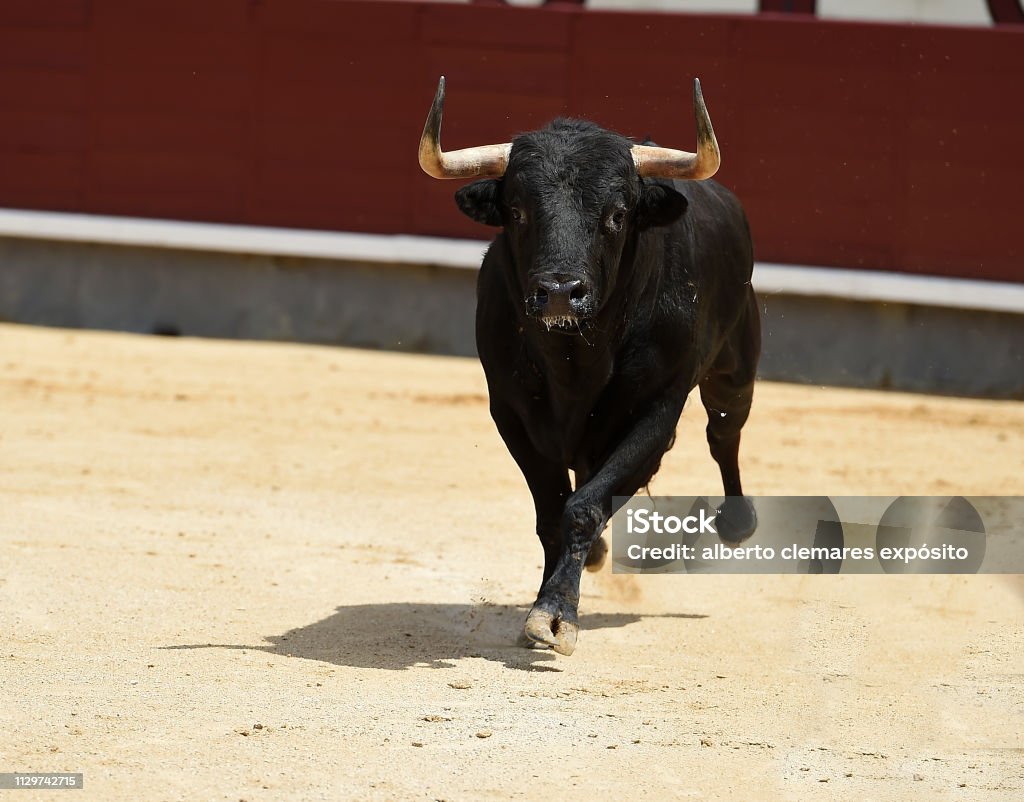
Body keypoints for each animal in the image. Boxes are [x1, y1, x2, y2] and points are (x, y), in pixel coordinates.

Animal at [417, 78, 761, 655]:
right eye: (517, 211)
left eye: (617, 215)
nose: (560, 292)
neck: (573, 360)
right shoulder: (511, 413)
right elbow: (552, 513)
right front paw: (548, 604)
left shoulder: (656, 414)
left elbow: (584, 505)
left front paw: (557, 613)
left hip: (736, 368)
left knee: (724, 431)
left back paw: (737, 522)